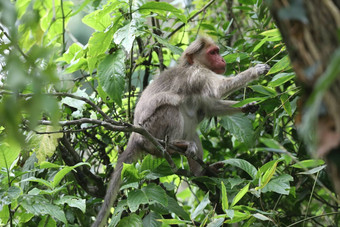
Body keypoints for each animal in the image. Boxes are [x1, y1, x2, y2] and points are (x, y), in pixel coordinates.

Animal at [91, 36, 270, 226]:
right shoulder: (197, 75)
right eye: (213, 52)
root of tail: (135, 136)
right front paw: (256, 70)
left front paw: (247, 106)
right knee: (170, 108)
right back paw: (173, 144)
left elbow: (210, 107)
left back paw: (199, 171)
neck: (194, 65)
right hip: (151, 130)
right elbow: (217, 90)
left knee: (193, 132)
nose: (222, 60)